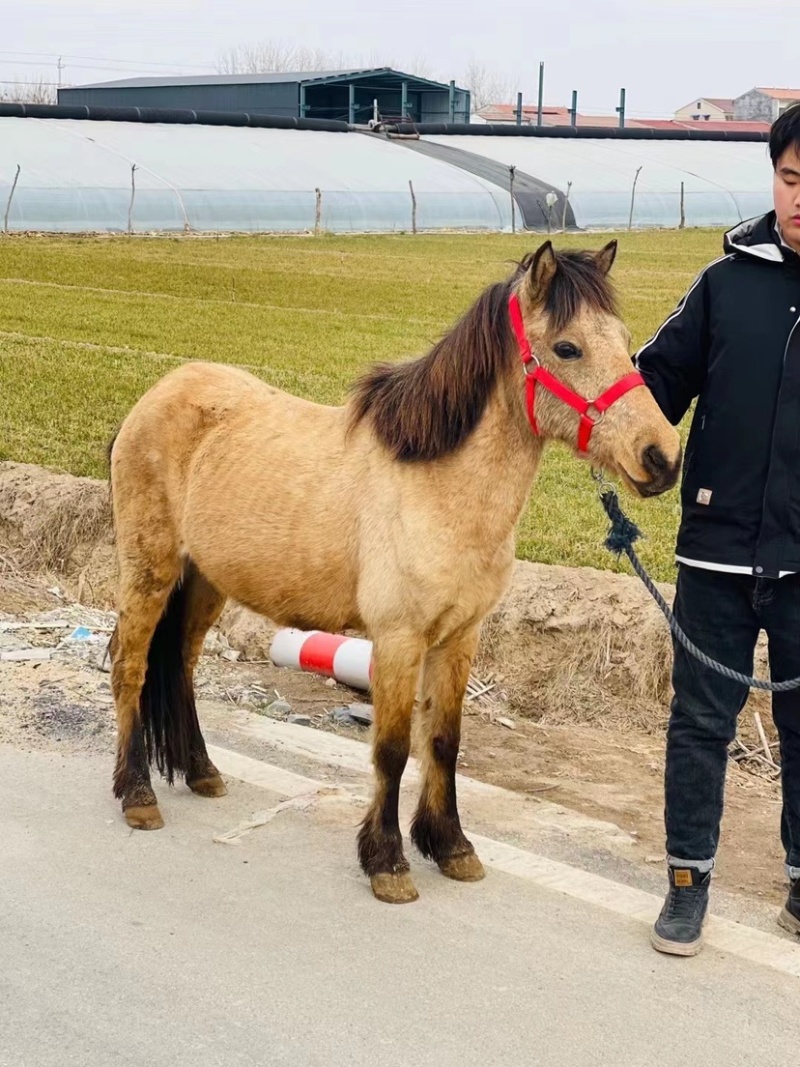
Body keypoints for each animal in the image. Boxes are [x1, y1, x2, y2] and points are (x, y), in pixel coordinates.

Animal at [107, 239, 681, 904]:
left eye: (624, 339)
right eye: (568, 348)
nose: (662, 458)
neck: (436, 484)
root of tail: (157, 395)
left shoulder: (459, 639)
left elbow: (444, 743)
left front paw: (452, 847)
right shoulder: (399, 640)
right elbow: (392, 750)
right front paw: (388, 862)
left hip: (204, 581)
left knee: (179, 664)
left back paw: (201, 772)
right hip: (150, 569)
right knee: (130, 666)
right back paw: (137, 795)